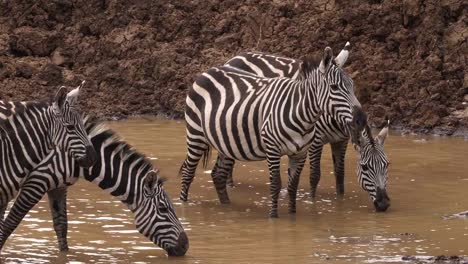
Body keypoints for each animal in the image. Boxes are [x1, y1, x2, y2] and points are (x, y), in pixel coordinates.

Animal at [0, 117, 190, 256]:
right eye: (163, 209)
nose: (186, 246)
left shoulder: (58, 186)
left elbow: (61, 226)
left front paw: (65, 256)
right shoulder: (36, 180)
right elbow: (10, 223)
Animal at [179, 43, 366, 217]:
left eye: (352, 85)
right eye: (334, 87)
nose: (361, 120)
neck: (301, 114)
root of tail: (207, 71)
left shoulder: (301, 153)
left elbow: (294, 186)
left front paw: (292, 216)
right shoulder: (274, 148)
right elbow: (278, 184)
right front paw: (274, 217)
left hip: (226, 139)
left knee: (218, 174)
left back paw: (226, 206)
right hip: (196, 134)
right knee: (188, 172)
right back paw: (183, 205)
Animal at [217, 44, 392, 210]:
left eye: (386, 165)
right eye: (365, 167)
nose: (383, 204)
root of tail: (235, 57)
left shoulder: (341, 141)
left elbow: (340, 174)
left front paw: (340, 201)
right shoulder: (315, 140)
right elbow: (314, 175)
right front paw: (312, 202)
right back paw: (230, 186)